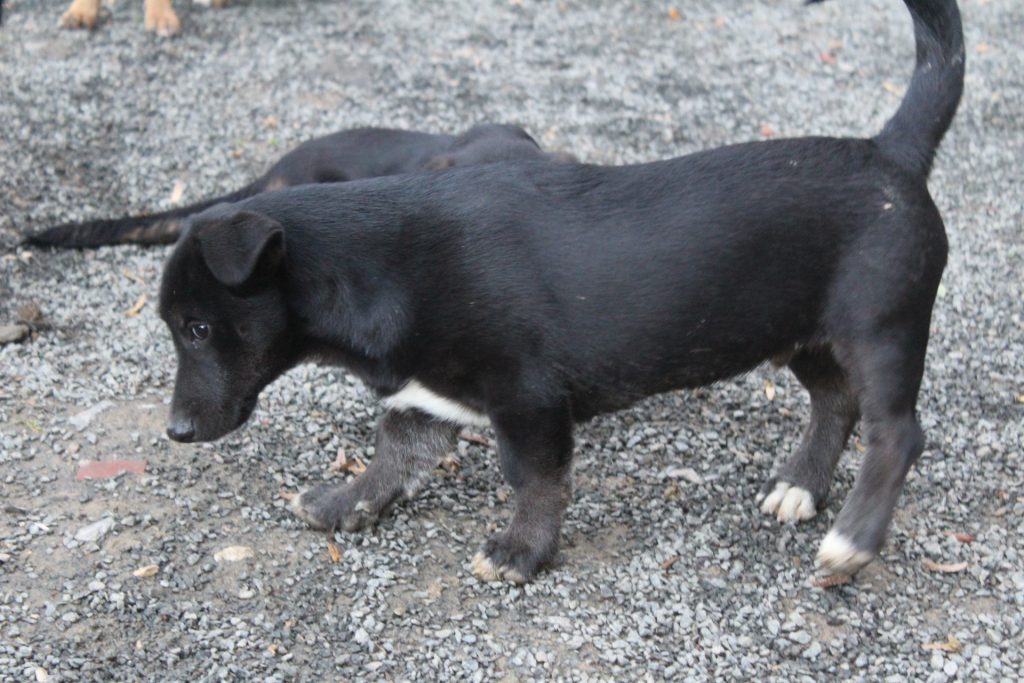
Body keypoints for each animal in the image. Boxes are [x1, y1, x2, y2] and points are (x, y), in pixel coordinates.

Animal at [159, 0, 964, 583]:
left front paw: (522, 551)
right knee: (836, 400)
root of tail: (890, 152)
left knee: (898, 432)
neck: (381, 261)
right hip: (799, 330)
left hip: (883, 327)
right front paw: (343, 502)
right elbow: (393, 456)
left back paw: (852, 539)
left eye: (196, 328)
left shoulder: (529, 402)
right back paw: (801, 484)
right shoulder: (427, 397)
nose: (175, 433)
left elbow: (535, 479)